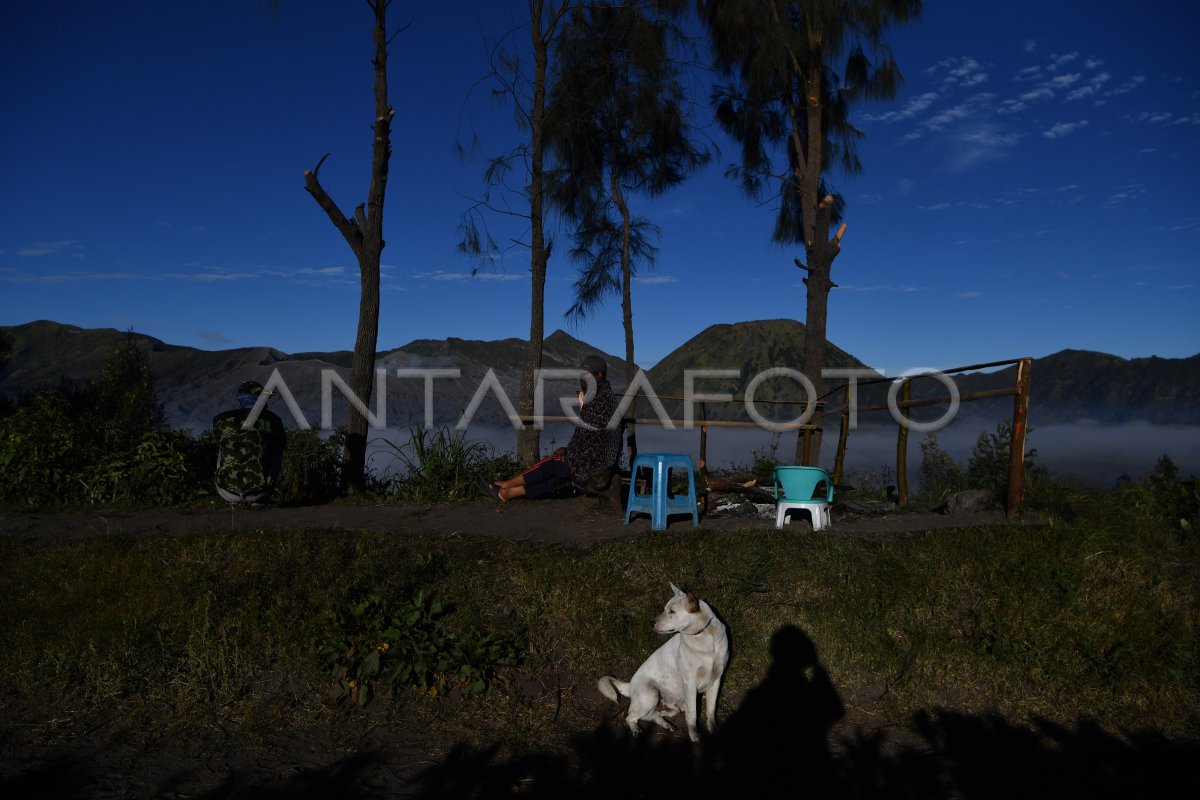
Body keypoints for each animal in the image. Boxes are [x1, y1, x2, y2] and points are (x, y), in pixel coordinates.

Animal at [600, 582, 729, 743]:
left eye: (671, 611)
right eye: (664, 609)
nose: (651, 623)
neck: (704, 639)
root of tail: (630, 686)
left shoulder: (716, 680)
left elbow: (711, 710)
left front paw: (714, 730)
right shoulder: (690, 683)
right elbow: (692, 714)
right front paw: (694, 736)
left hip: (672, 707)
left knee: (654, 715)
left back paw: (666, 725)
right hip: (651, 695)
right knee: (630, 717)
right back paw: (636, 730)